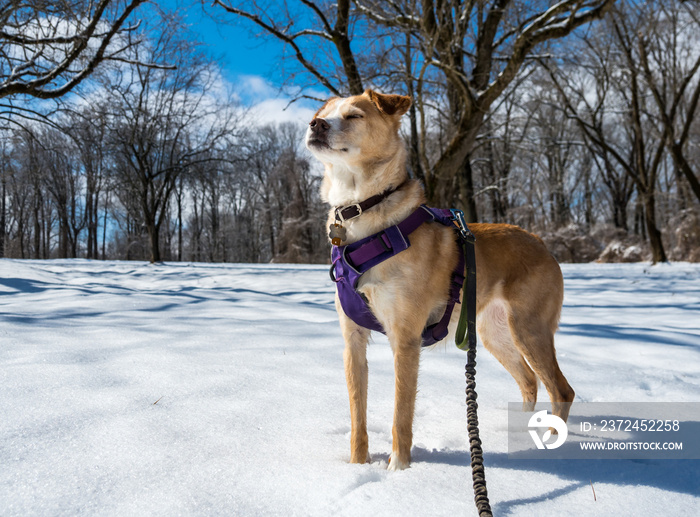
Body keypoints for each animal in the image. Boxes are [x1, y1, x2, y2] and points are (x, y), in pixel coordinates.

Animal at [304, 89, 576, 472]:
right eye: (323, 112)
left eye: (354, 115)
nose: (315, 124)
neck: (363, 213)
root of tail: (540, 241)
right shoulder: (352, 340)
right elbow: (358, 416)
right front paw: (357, 466)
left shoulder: (405, 339)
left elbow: (401, 415)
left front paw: (398, 469)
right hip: (495, 334)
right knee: (529, 380)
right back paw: (520, 432)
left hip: (528, 329)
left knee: (560, 389)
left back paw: (551, 443)